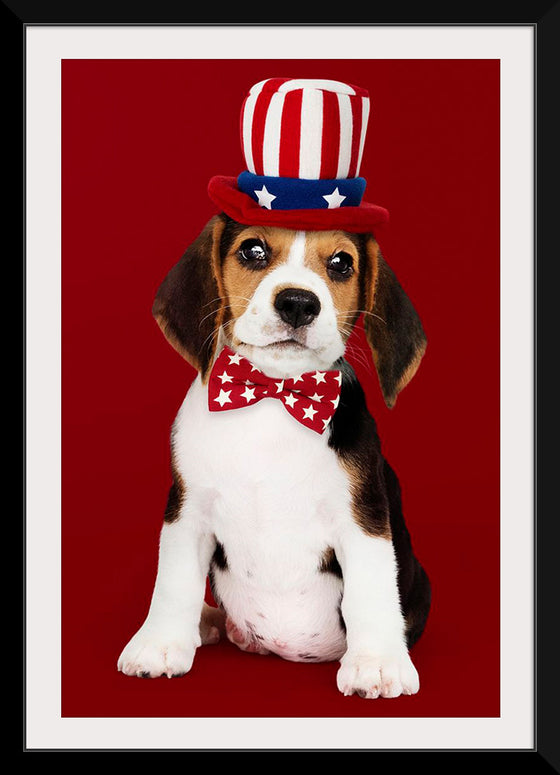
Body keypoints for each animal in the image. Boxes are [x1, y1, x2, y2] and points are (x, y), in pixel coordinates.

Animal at [118, 214, 430, 704]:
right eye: (253, 251)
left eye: (341, 263)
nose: (298, 303)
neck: (273, 395)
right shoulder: (186, 510)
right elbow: (173, 581)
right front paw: (160, 644)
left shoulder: (363, 518)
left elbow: (371, 588)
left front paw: (377, 663)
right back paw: (208, 622)